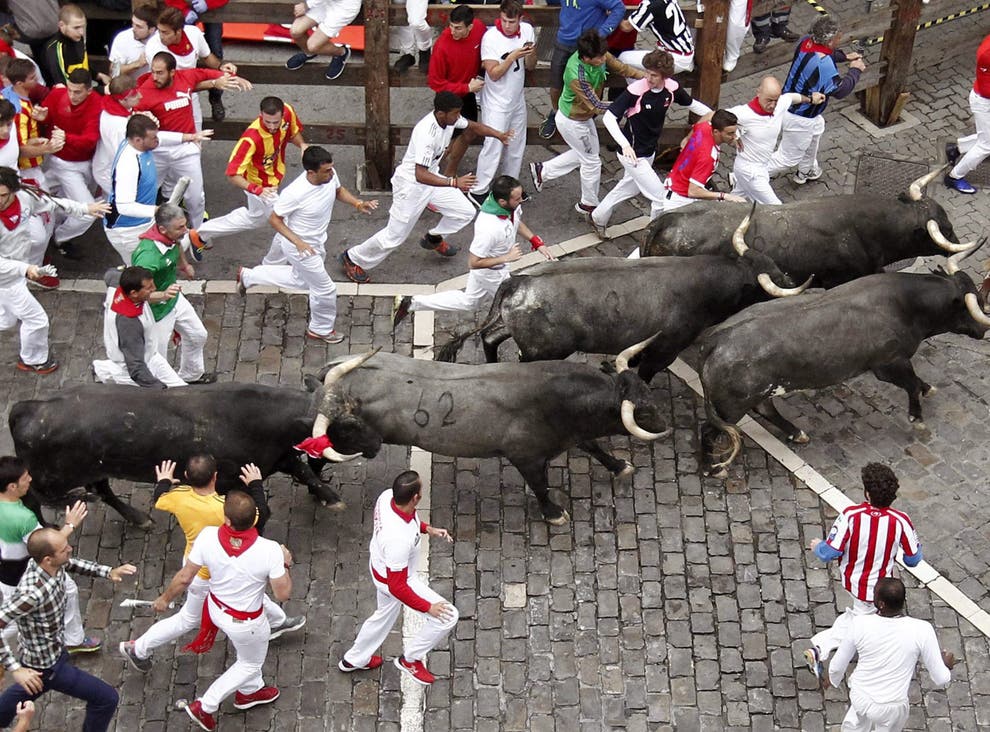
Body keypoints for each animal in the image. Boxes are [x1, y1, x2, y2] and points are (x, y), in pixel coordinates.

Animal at [7, 380, 346, 528]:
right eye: (348, 422)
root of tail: (28, 407)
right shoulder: (231, 480)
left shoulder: (275, 459)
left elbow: (303, 471)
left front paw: (330, 496)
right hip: (50, 476)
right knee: (35, 498)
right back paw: (48, 527)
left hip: (97, 467)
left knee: (102, 489)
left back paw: (138, 518)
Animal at [696, 268, 990, 474]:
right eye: (970, 305)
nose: (983, 329)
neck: (903, 303)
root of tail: (716, 338)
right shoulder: (888, 364)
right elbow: (912, 384)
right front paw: (916, 418)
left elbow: (917, 381)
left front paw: (929, 389)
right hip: (730, 407)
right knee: (708, 430)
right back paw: (711, 469)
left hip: (757, 394)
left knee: (766, 410)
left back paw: (797, 433)